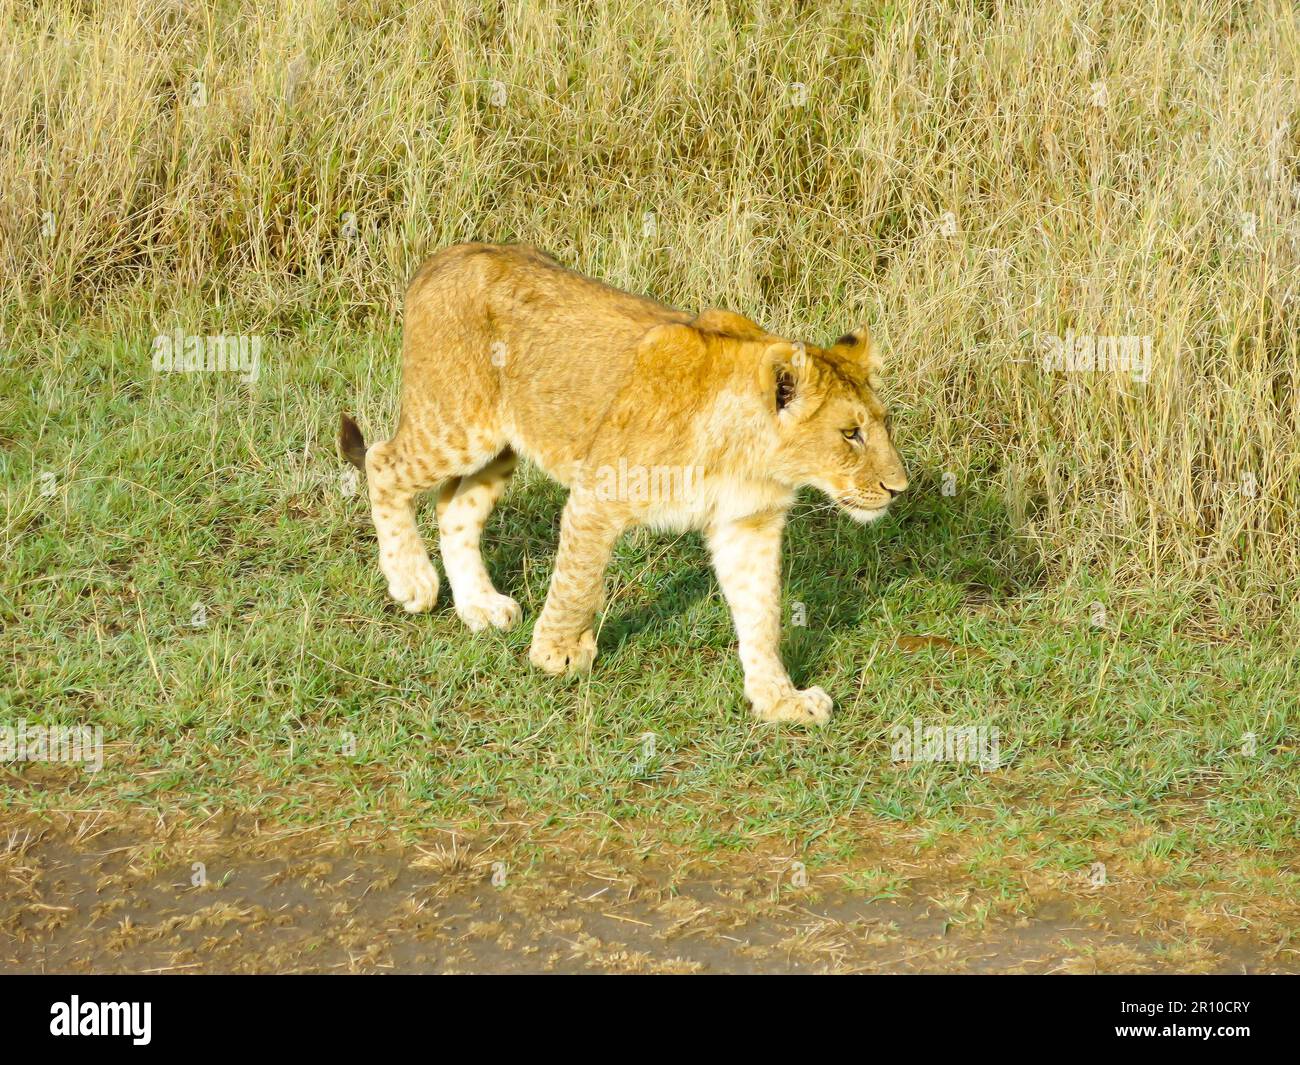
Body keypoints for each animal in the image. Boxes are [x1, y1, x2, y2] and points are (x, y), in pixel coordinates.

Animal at [340, 243, 907, 725]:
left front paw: (779, 699)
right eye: (850, 434)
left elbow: (761, 613)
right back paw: (412, 580)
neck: (753, 456)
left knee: (455, 507)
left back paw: (479, 605)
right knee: (383, 462)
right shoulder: (599, 493)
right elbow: (578, 579)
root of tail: (446, 254)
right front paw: (558, 653)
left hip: (497, 446)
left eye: (884, 425)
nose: (898, 489)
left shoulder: (749, 524)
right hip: (456, 424)